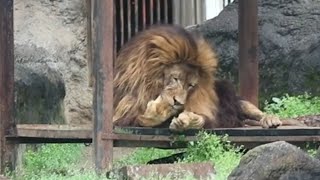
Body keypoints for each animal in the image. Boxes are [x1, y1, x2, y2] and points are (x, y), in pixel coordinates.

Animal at [111, 24, 292, 131]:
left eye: (191, 86)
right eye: (175, 79)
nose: (178, 102)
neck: (151, 88)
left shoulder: (210, 112)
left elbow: (201, 118)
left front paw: (189, 119)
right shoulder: (123, 115)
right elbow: (145, 118)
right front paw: (159, 109)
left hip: (234, 97)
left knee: (256, 112)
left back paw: (270, 119)